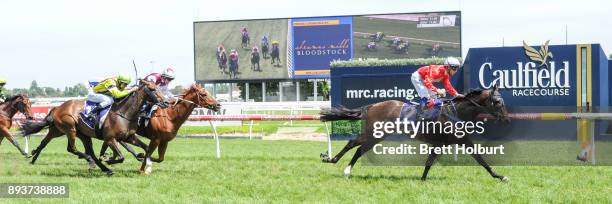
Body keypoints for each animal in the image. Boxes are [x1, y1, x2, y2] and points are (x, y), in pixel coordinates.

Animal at [21, 79, 166, 175]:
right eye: (153, 89)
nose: (166, 102)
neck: (124, 113)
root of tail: (58, 107)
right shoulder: (110, 139)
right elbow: (121, 157)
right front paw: (110, 159)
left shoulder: (129, 137)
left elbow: (146, 148)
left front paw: (145, 159)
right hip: (69, 128)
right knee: (72, 149)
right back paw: (93, 162)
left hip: (76, 133)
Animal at [320, 85, 512, 181]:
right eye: (497, 102)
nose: (506, 120)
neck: (456, 112)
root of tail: (372, 105)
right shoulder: (450, 142)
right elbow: (480, 160)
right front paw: (500, 176)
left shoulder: (449, 142)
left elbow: (479, 160)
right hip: (374, 133)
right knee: (354, 144)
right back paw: (337, 164)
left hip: (377, 135)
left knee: (359, 148)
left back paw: (340, 165)